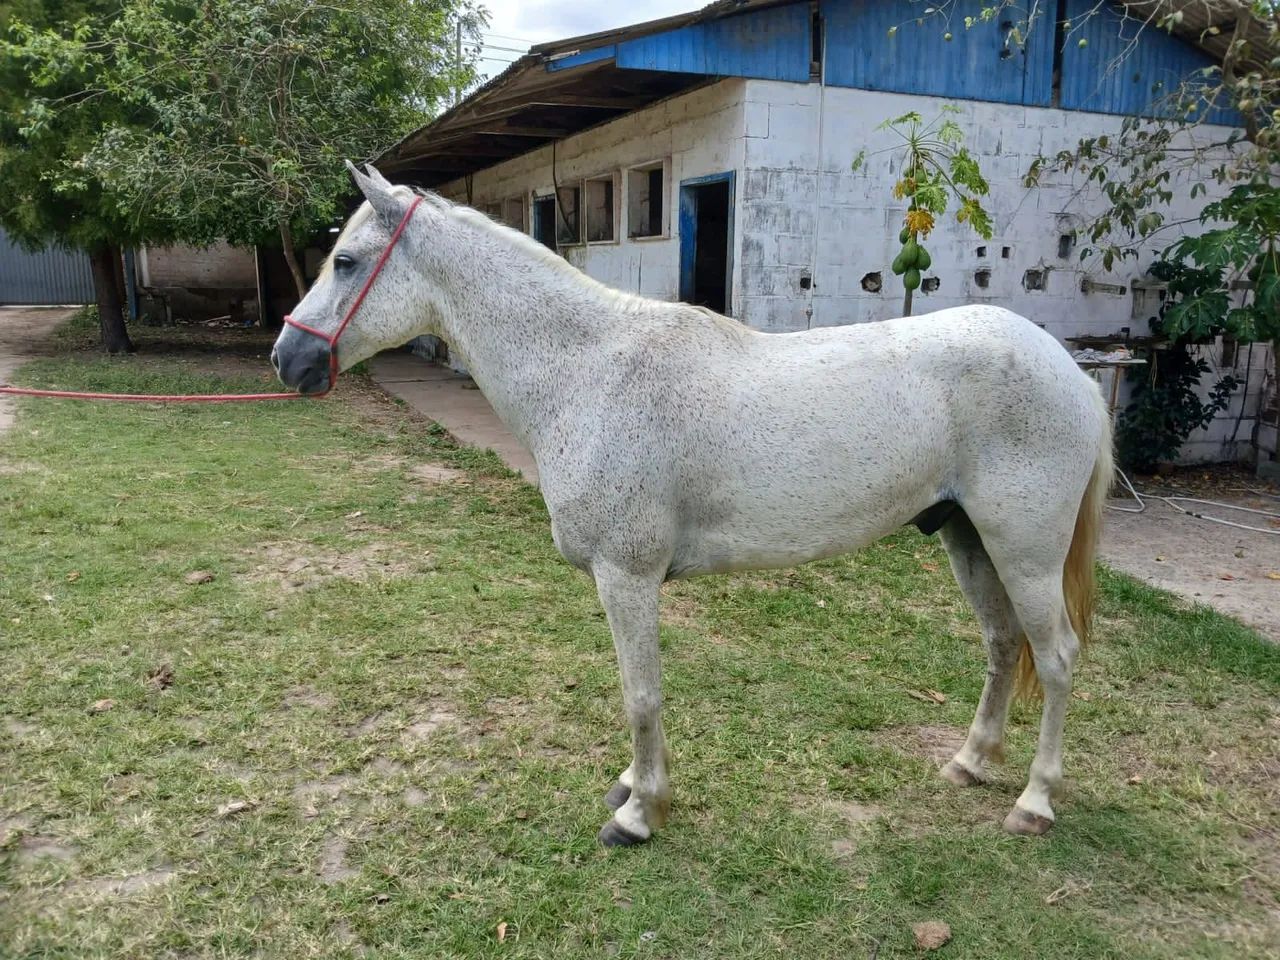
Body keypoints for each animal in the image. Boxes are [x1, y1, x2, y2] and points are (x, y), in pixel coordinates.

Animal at [272, 162, 1113, 847]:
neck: (588, 370)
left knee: (1058, 658)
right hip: (968, 538)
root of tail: (1067, 368)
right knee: (1004, 645)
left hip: (1024, 550)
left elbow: (641, 695)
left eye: (345, 261)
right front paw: (631, 787)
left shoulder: (626, 576)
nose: (289, 358)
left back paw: (1035, 802)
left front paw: (640, 813)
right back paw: (969, 763)